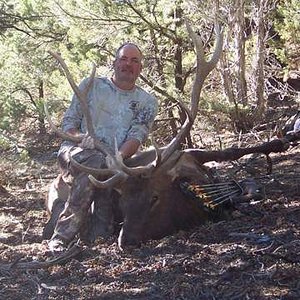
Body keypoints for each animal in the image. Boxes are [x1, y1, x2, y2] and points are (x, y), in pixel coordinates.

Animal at [46, 20, 292, 248]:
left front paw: (279, 143)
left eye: (155, 197)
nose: (125, 241)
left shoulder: (191, 152)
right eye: (122, 201)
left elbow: (232, 151)